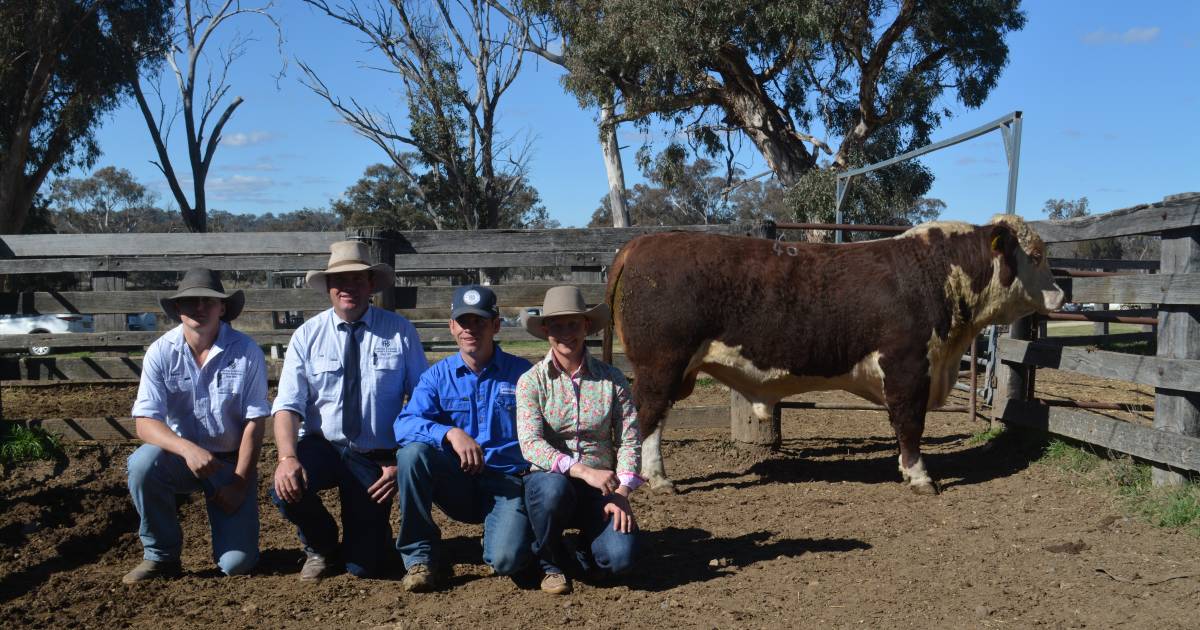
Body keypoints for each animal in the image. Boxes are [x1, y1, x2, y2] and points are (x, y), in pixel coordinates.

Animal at [614, 213, 1065, 494]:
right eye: (1036, 256)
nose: (1060, 295)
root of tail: (640, 244)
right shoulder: (907, 367)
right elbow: (909, 424)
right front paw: (919, 476)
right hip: (661, 365)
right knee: (648, 417)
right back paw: (659, 480)